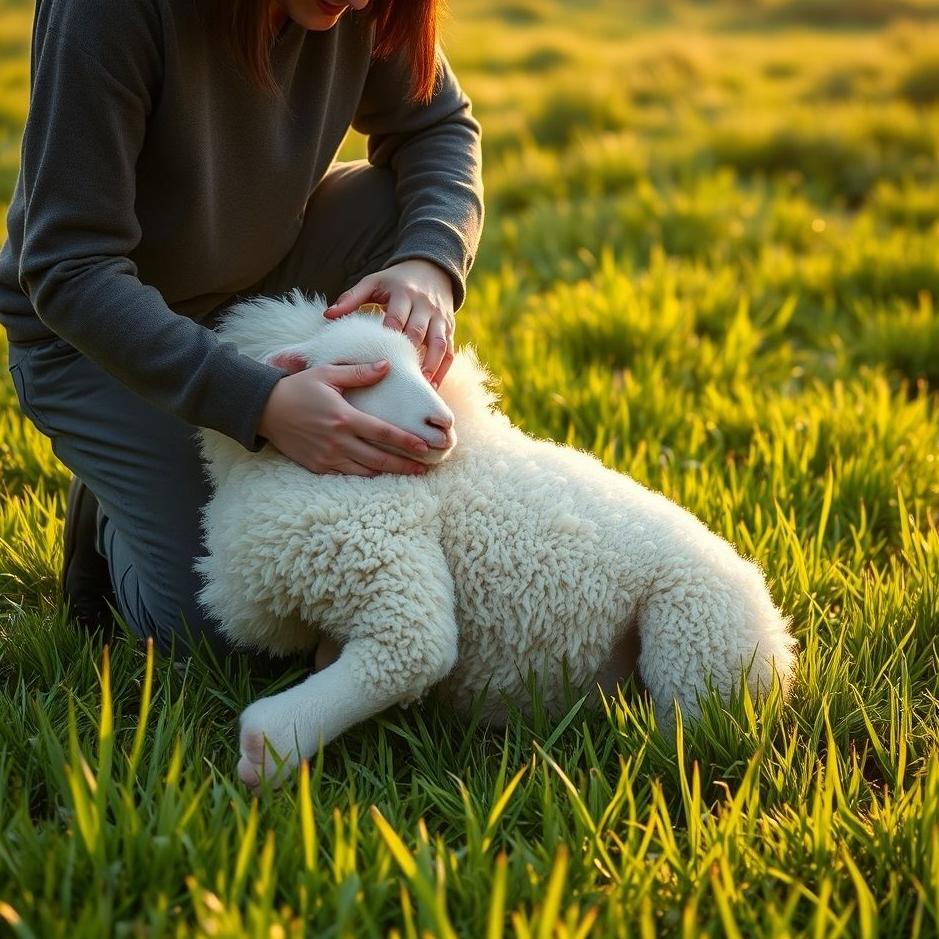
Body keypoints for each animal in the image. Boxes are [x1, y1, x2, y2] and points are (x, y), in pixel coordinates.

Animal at [196, 291, 797, 788]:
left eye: (420, 364)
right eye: (351, 372)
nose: (441, 424)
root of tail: (777, 635)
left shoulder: (384, 546)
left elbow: (410, 654)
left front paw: (269, 747)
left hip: (696, 644)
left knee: (692, 736)